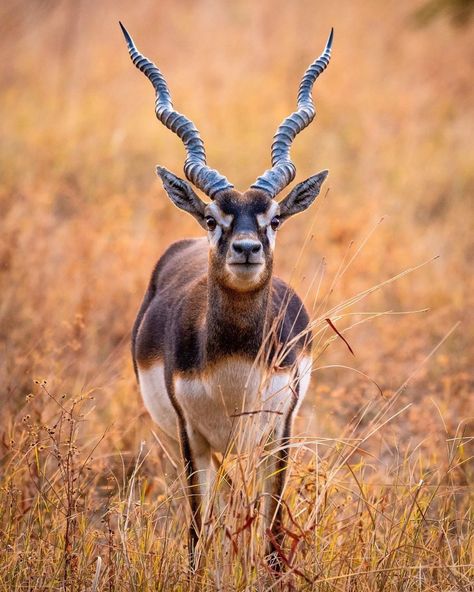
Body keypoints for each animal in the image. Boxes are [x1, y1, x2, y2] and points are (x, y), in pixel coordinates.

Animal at [120, 22, 332, 568]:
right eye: (213, 217)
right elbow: (198, 538)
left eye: (274, 219)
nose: (246, 248)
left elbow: (273, 537)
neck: (234, 361)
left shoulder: (279, 433)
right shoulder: (191, 438)